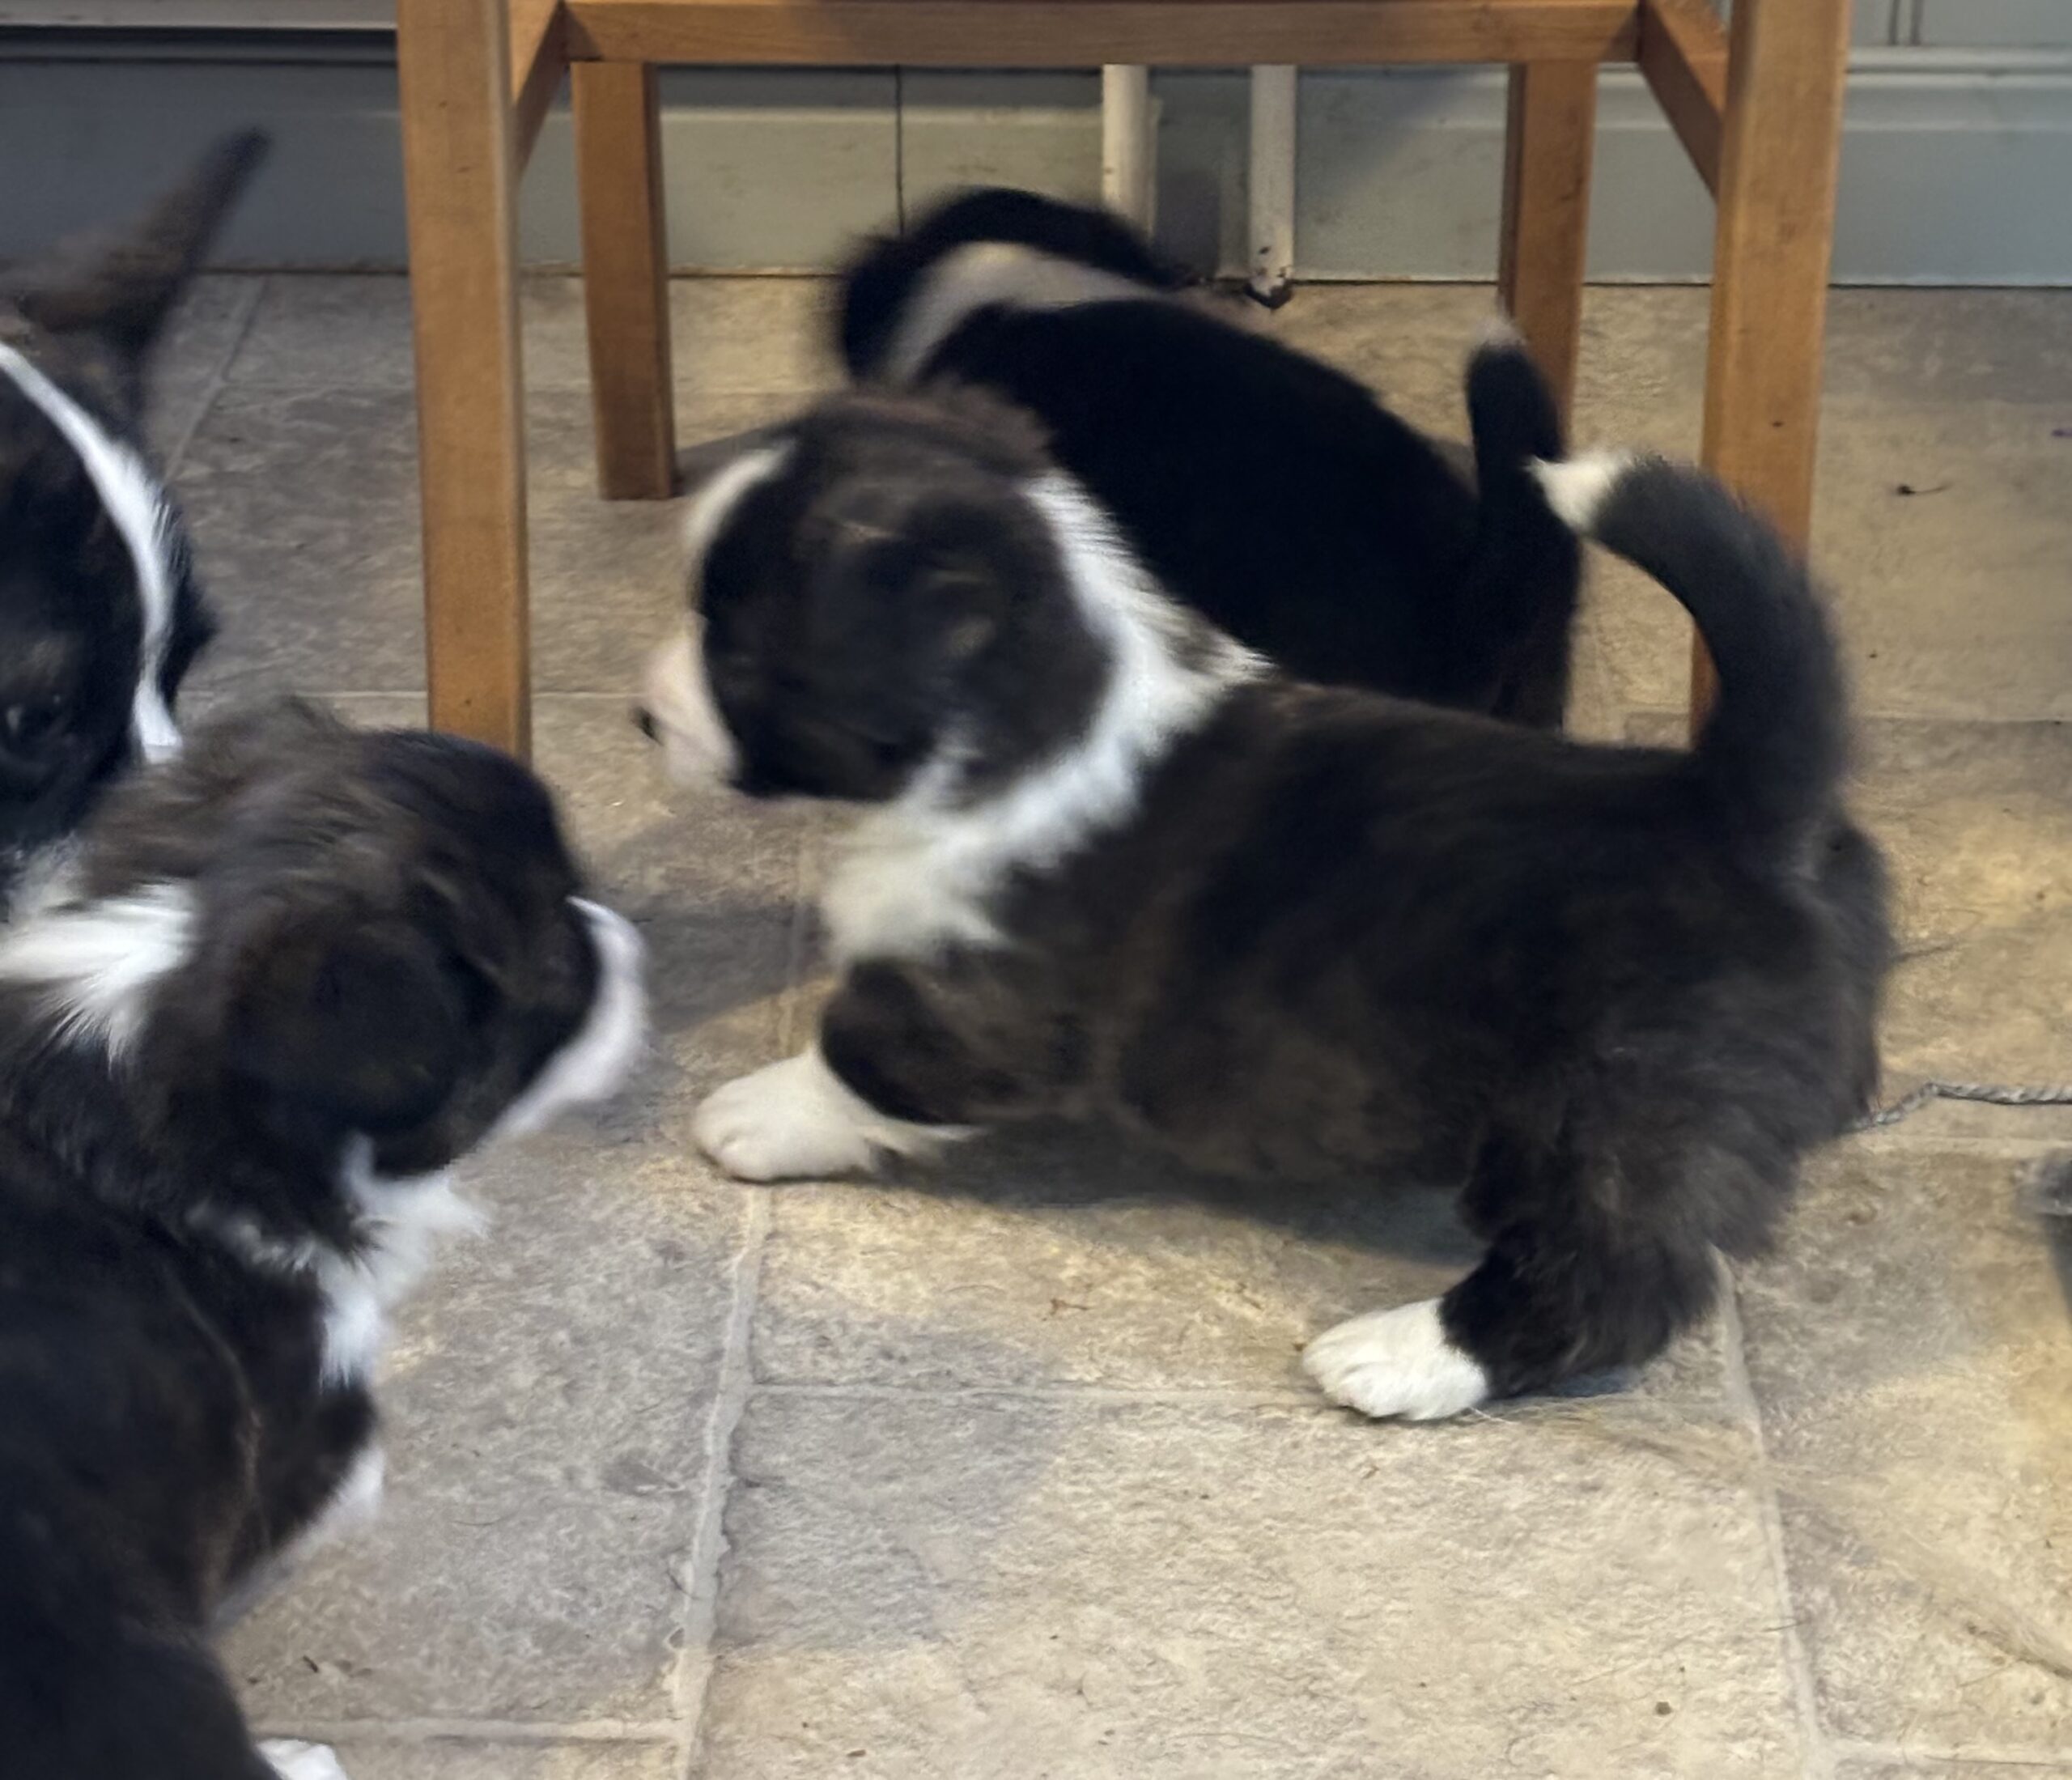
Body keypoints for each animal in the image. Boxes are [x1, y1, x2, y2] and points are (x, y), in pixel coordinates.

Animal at [639, 390, 1890, 1421]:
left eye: (733, 646)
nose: (642, 718)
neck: (1018, 717)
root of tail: (1732, 804)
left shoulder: (971, 1002)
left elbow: (855, 1059)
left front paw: (751, 1115)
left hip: (1605, 1111)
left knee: (1598, 1280)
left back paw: (1399, 1356)